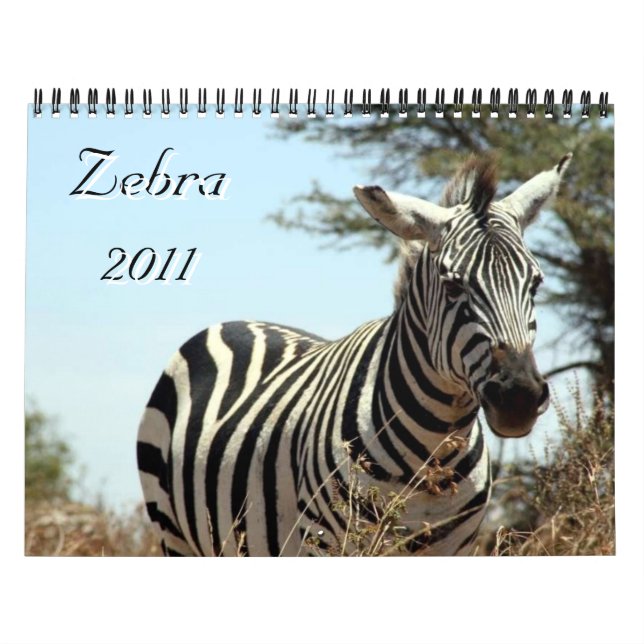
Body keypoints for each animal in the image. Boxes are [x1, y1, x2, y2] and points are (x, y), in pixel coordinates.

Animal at [137, 152, 571, 556]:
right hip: (174, 532)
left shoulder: (458, 546)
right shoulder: (329, 542)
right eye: (452, 286)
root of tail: (234, 322)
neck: (432, 455)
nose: (518, 398)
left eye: (535, 284)